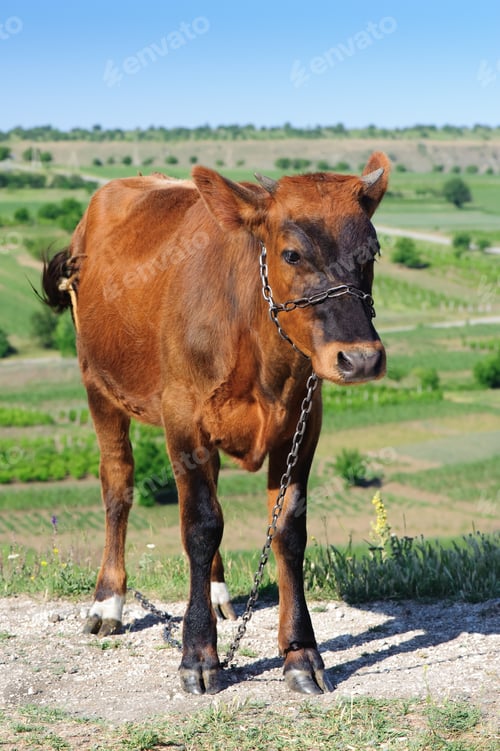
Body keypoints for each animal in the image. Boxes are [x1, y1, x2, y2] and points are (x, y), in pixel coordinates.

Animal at [42, 152, 390, 696]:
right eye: (291, 254)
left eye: (371, 252)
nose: (360, 358)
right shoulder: (182, 419)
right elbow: (200, 526)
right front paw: (198, 654)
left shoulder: (303, 423)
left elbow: (287, 529)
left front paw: (300, 652)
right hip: (97, 384)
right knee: (117, 485)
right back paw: (107, 602)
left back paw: (219, 591)